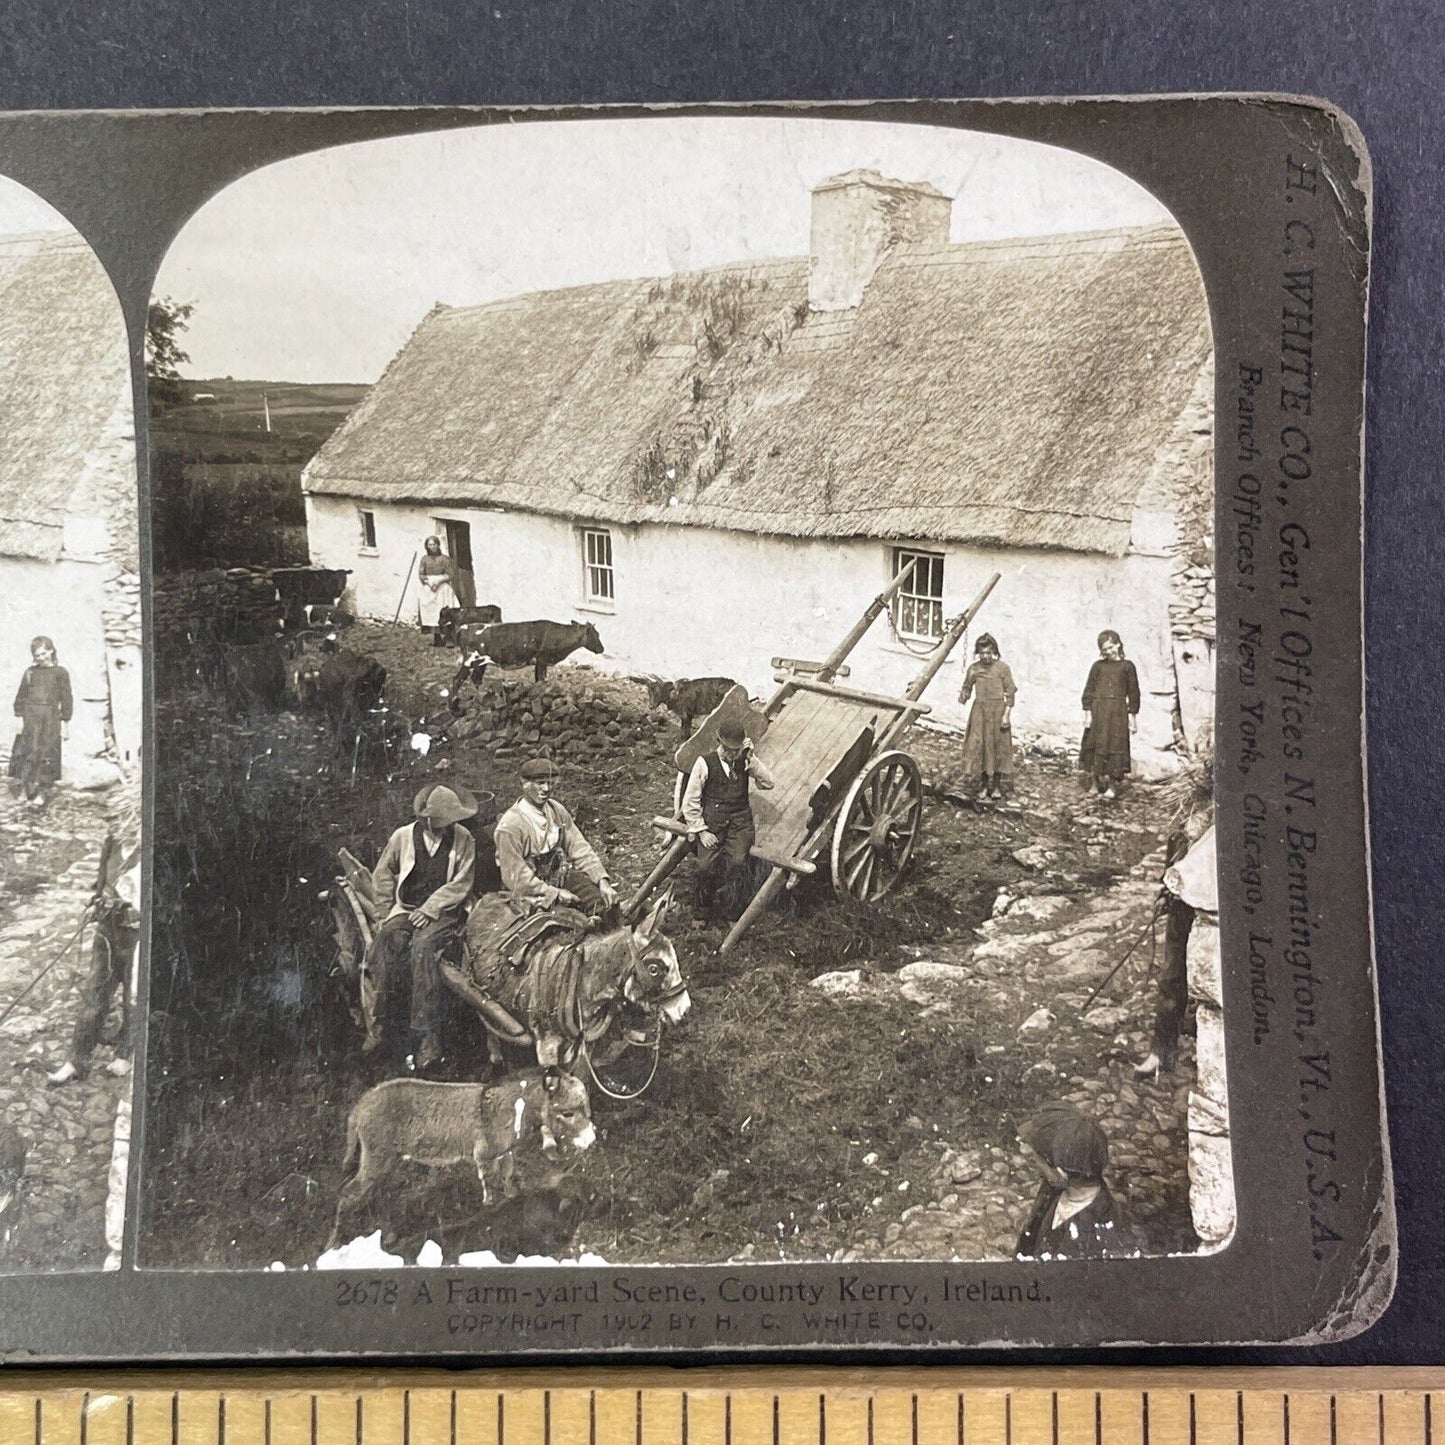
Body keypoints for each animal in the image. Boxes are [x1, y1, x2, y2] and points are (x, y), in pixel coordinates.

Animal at [330, 1069, 595, 1248]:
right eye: (567, 1113)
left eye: (586, 1108)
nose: (591, 1140)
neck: (514, 1109)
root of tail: (362, 1104)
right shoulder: (486, 1157)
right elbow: (491, 1196)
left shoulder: (506, 1154)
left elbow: (510, 1184)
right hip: (377, 1159)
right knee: (348, 1193)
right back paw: (333, 1244)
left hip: (387, 1162)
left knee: (380, 1194)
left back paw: (388, 1236)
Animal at [456, 618, 604, 684]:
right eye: (596, 635)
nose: (602, 649)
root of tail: (464, 627)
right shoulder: (542, 661)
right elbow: (540, 681)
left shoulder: (542, 663)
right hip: (469, 660)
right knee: (457, 680)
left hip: (481, 663)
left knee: (476, 679)